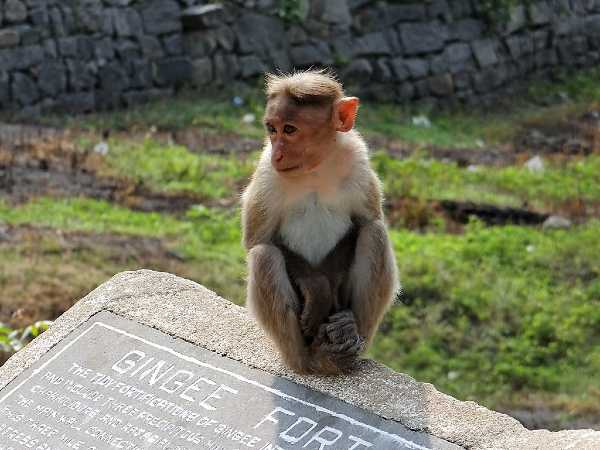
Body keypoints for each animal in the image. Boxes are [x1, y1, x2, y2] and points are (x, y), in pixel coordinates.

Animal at [239, 68, 398, 374]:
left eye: (290, 129)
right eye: (272, 129)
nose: (278, 153)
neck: (315, 167)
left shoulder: (357, 160)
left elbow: (365, 222)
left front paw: (330, 295)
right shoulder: (267, 172)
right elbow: (258, 239)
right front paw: (318, 288)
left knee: (374, 233)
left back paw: (349, 336)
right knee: (265, 256)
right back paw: (309, 359)